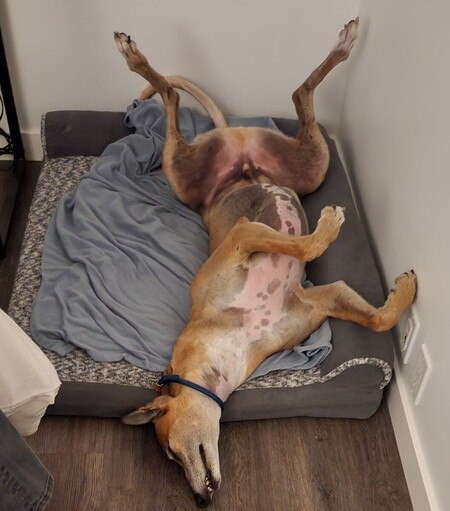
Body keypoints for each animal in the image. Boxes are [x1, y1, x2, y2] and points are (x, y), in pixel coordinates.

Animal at [114, 19, 416, 507]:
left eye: (173, 453)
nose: (200, 500)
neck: (222, 352)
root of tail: (239, 152)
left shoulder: (242, 238)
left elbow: (307, 249)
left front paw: (330, 228)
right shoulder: (323, 298)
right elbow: (376, 318)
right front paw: (402, 289)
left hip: (199, 170)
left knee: (177, 97)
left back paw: (136, 59)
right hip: (307, 165)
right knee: (293, 95)